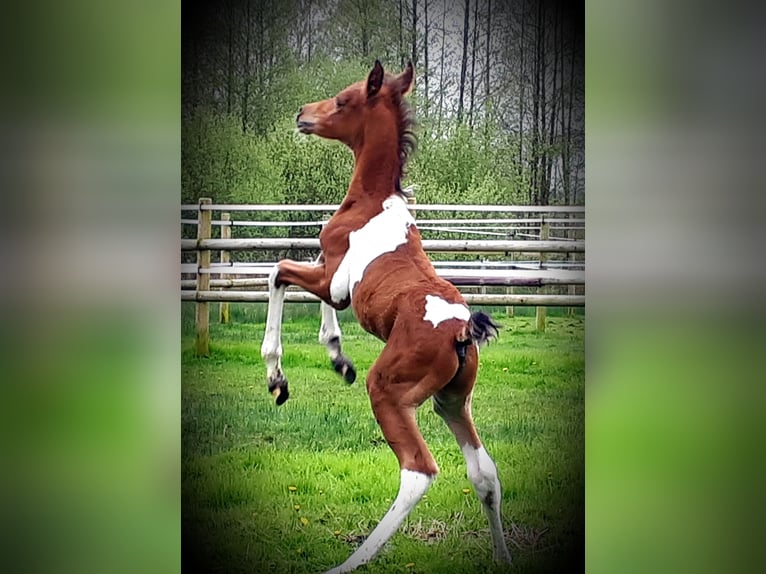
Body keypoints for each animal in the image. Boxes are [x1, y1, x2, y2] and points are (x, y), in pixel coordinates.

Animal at [260, 60, 516, 572]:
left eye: (343, 100)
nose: (302, 114)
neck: (370, 202)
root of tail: (462, 329)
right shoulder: (333, 280)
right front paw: (338, 358)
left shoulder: (333, 278)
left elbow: (279, 272)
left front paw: (279, 379)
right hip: (452, 402)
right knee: (485, 475)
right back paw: (503, 558)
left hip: (390, 391)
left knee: (419, 470)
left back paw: (348, 563)